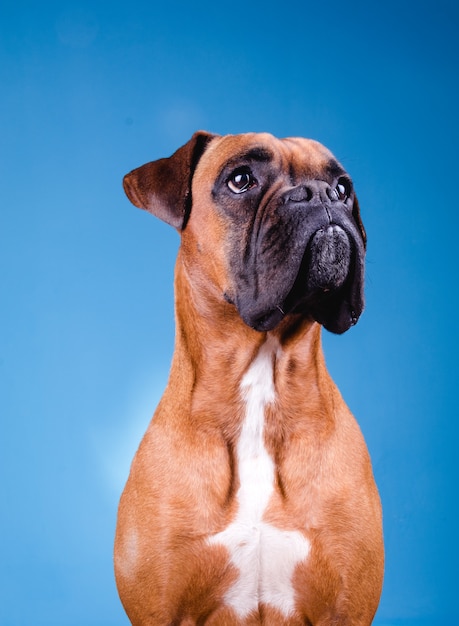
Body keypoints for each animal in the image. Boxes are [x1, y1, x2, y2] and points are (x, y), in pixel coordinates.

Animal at [115, 129, 384, 620]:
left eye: (342, 188)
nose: (319, 195)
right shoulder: (160, 610)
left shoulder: (346, 609)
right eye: (240, 179)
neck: (260, 377)